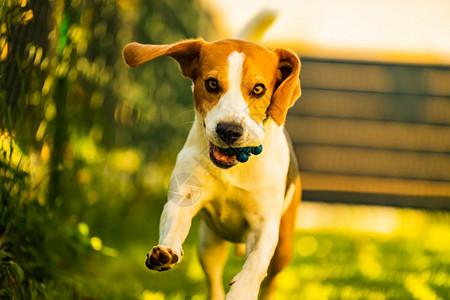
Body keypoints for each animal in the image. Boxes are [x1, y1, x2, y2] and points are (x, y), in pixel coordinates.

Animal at [123, 38, 302, 298]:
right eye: (212, 83)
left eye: (259, 89)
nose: (229, 130)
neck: (233, 168)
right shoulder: (183, 198)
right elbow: (173, 223)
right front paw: (166, 251)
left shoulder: (264, 225)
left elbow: (256, 262)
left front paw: (243, 290)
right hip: (209, 244)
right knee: (213, 277)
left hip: (283, 249)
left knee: (271, 280)